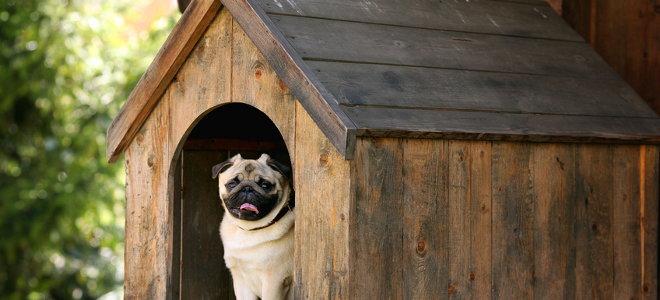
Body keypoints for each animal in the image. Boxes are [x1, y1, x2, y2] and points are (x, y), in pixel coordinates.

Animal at [213, 154, 296, 300]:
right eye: (232, 184)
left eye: (265, 185)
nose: (247, 188)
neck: (248, 230)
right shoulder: (240, 280)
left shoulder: (274, 281)